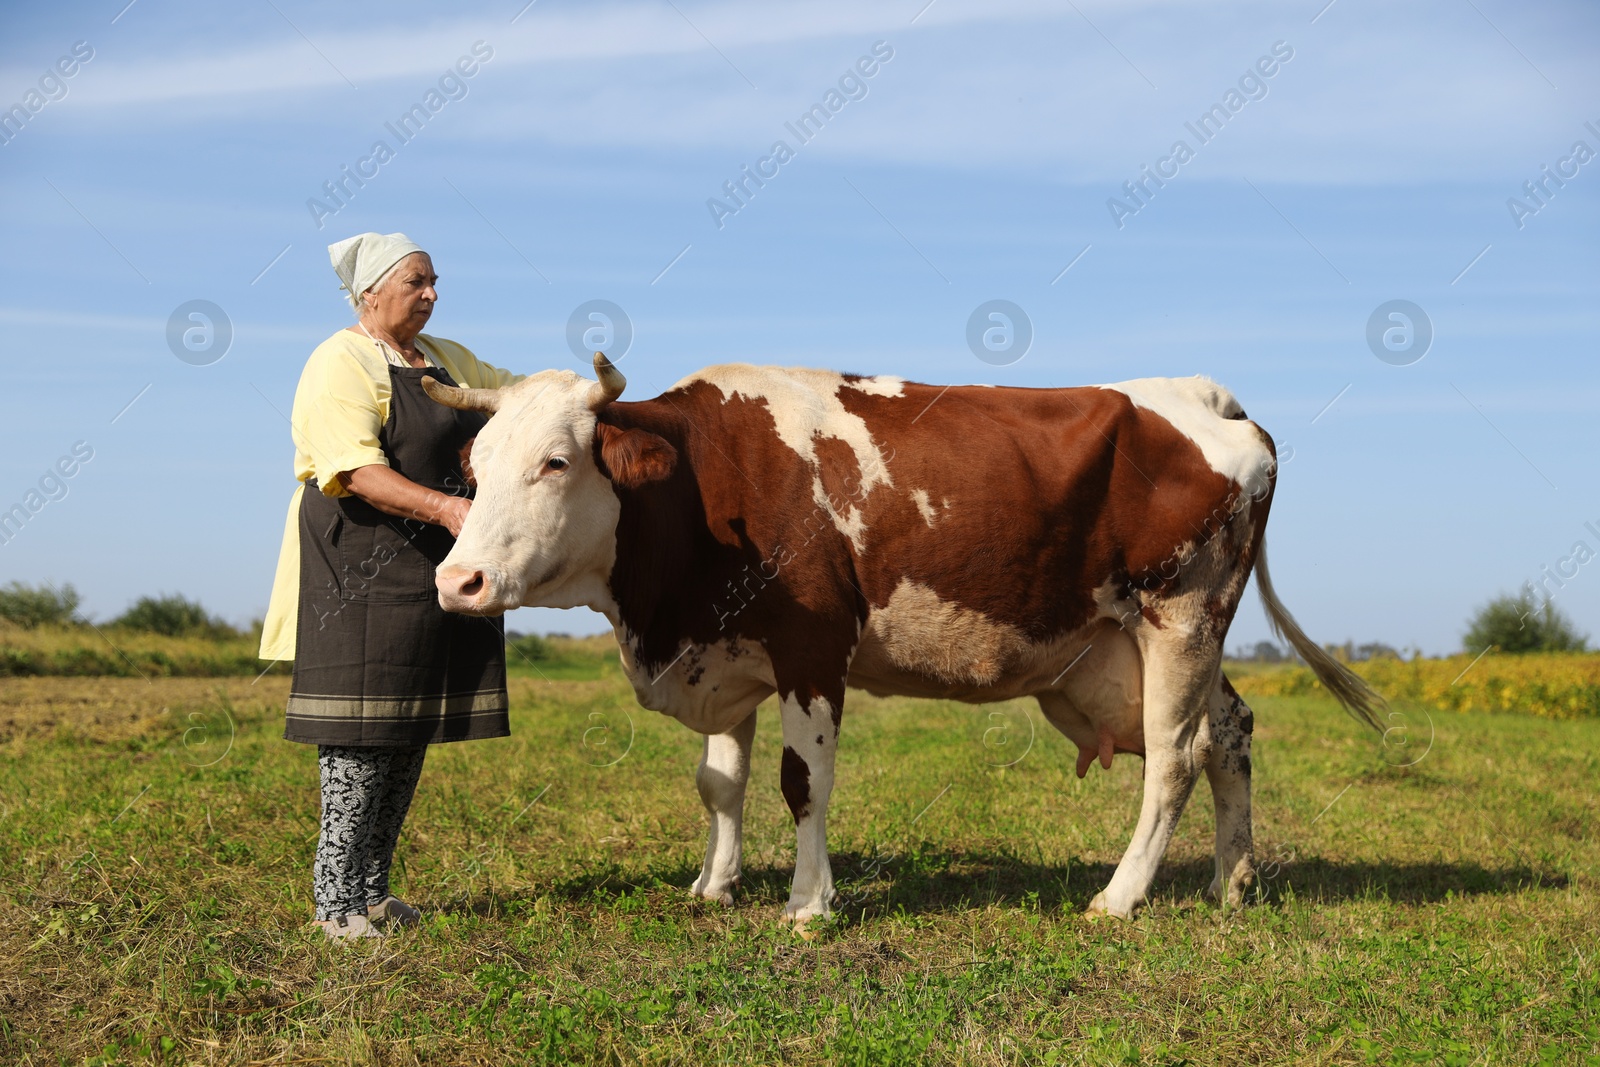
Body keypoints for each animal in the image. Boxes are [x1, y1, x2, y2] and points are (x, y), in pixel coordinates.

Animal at [425, 356, 1388, 927]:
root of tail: (1198, 392)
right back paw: (1232, 882)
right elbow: (720, 784)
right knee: (1229, 734)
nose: (457, 580)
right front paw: (714, 884)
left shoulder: (811, 647)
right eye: (473, 465)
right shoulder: (726, 656)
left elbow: (802, 782)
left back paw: (1118, 896)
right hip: (1153, 643)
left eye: (555, 461)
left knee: (1176, 757)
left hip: (1182, 615)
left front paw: (808, 904)